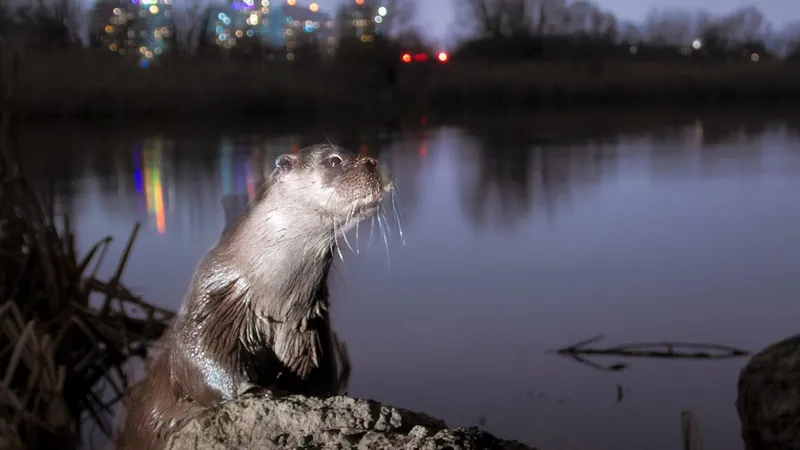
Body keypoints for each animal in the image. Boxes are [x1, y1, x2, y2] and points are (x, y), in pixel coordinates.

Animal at [119, 144, 394, 450]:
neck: (274, 302)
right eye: (334, 161)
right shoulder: (210, 306)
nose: (373, 162)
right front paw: (258, 391)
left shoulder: (310, 329)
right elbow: (198, 362)